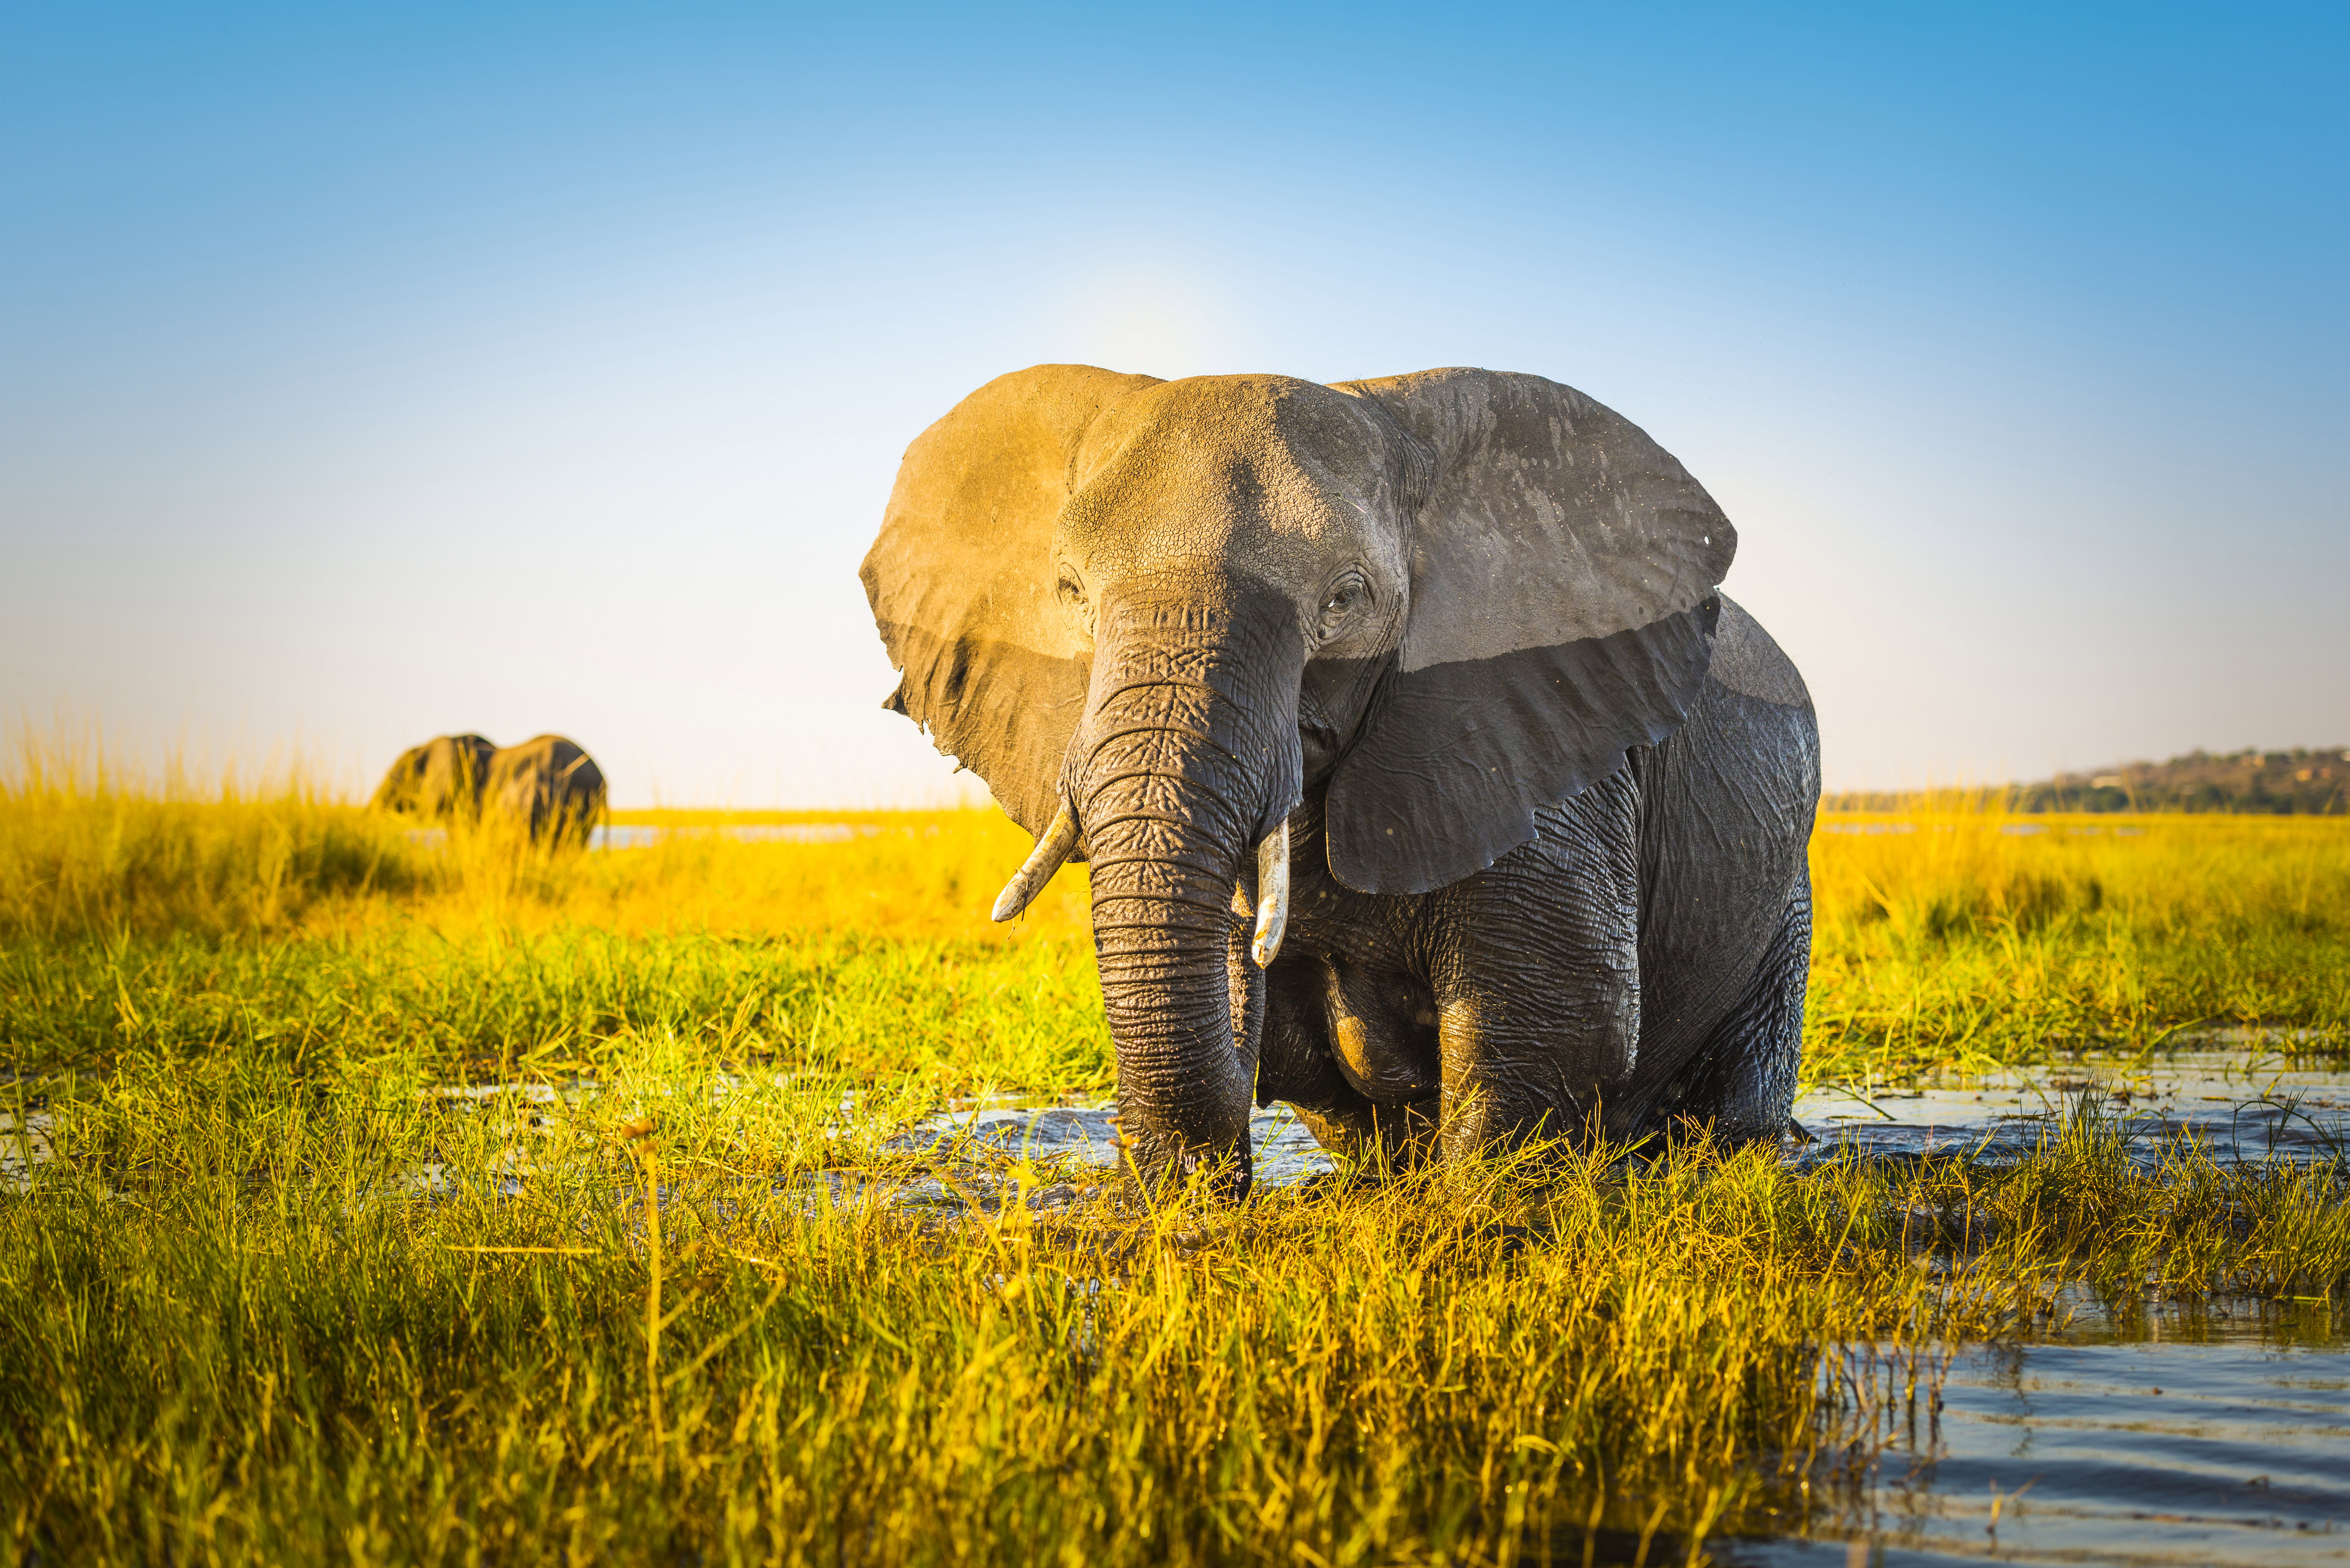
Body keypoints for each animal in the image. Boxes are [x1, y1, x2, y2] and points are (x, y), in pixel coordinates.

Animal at [863, 365, 1819, 1199]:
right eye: (1068, 590)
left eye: (1344, 599)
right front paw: (1178, 1205)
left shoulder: (1536, 728)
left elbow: (1562, 1013)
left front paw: (1478, 1213)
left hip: (1786, 896)